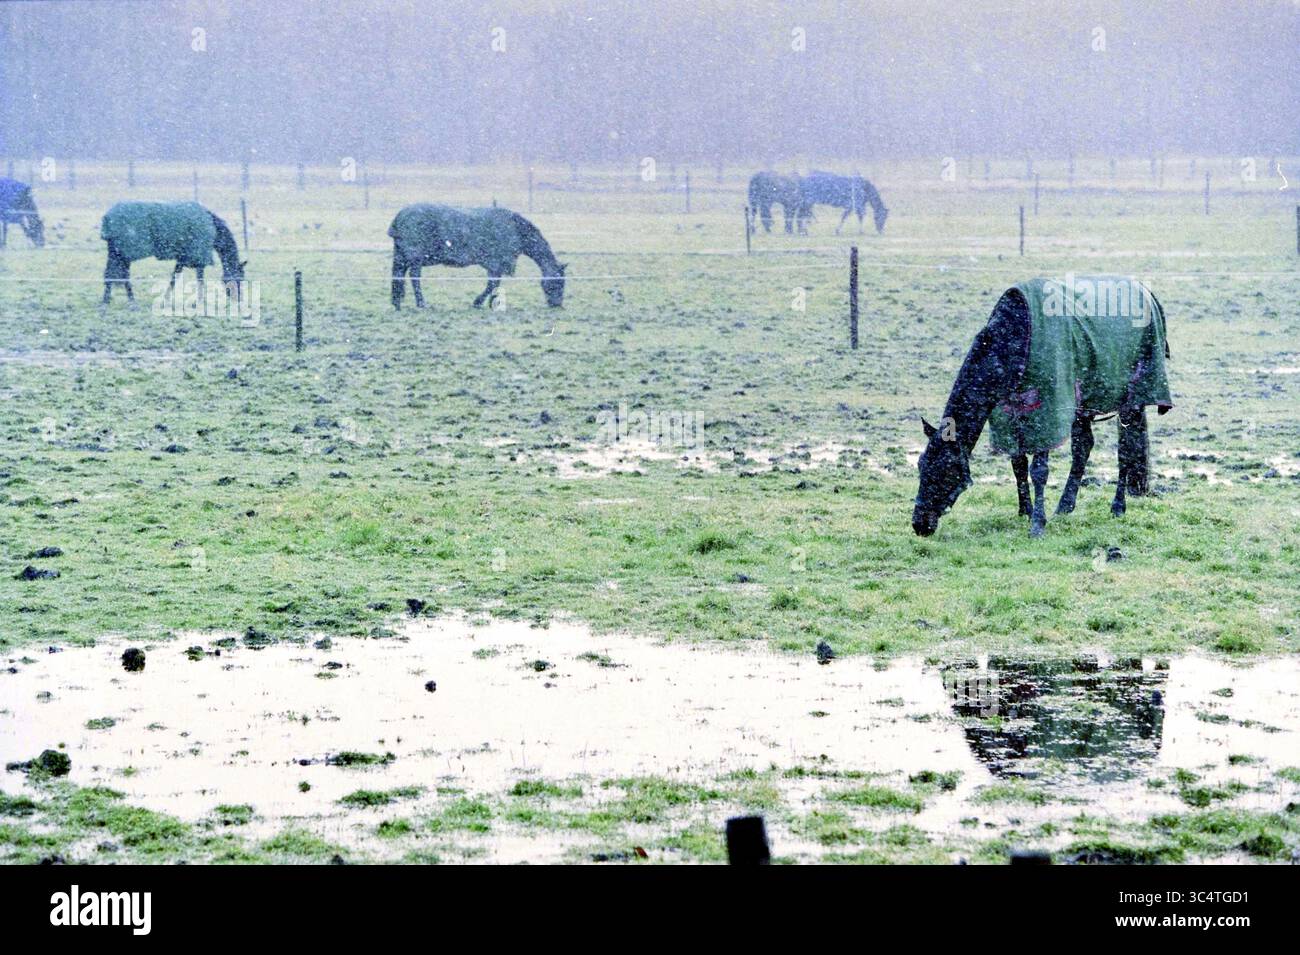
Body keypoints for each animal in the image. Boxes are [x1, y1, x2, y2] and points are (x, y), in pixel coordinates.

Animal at [100, 201, 245, 307]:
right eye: (239, 278)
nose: (238, 299)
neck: (212, 225)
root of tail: (107, 217)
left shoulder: (182, 258)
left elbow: (174, 278)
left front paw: (166, 299)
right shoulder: (198, 256)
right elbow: (199, 278)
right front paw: (199, 301)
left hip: (117, 254)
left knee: (110, 274)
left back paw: (107, 300)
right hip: (124, 254)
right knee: (122, 276)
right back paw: (131, 302)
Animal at [389, 204, 566, 310]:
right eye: (558, 282)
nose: (556, 304)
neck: (516, 230)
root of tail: (399, 217)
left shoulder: (494, 264)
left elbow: (493, 284)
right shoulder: (496, 262)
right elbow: (492, 284)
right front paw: (482, 302)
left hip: (401, 255)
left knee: (398, 275)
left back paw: (396, 302)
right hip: (415, 257)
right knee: (414, 278)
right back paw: (421, 303)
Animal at [912, 276, 1172, 538]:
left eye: (945, 473)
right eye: (921, 466)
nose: (919, 525)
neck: (1015, 335)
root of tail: (1146, 292)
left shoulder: (1047, 415)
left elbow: (1039, 471)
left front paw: (1037, 524)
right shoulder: (1010, 415)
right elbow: (1018, 464)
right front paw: (1025, 511)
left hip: (1133, 400)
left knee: (1125, 450)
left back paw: (1118, 507)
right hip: (1082, 407)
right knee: (1084, 447)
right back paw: (1065, 507)